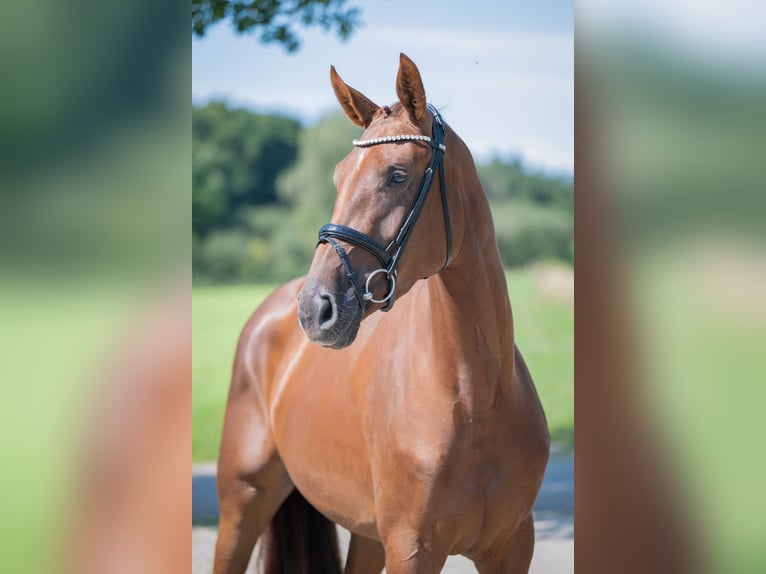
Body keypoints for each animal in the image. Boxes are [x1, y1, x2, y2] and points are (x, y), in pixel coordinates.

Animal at [213, 53, 550, 574]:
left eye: (397, 175)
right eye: (337, 177)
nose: (314, 309)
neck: (476, 399)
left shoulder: (513, 547)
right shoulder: (412, 549)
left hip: (366, 534)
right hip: (242, 504)